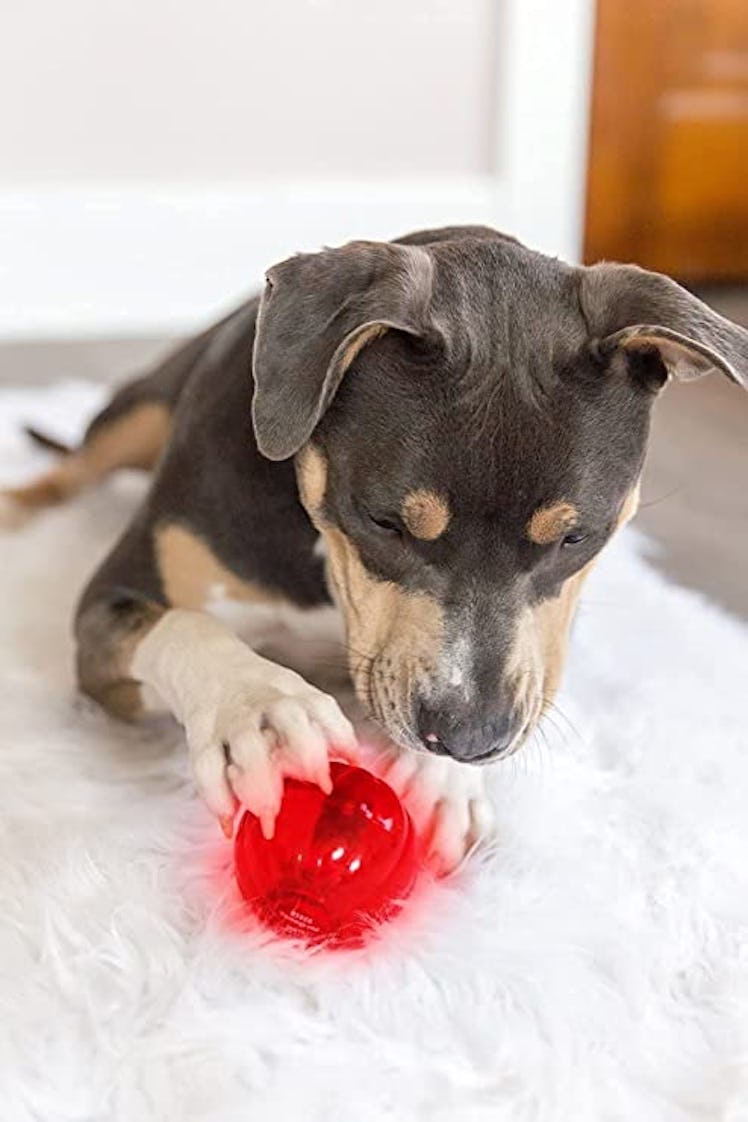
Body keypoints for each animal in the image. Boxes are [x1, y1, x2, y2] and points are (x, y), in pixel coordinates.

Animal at [2, 227, 744, 870]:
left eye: (575, 537)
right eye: (386, 522)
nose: (472, 740)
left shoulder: (533, 641)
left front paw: (440, 781)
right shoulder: (110, 609)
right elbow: (186, 625)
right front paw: (260, 711)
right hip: (136, 411)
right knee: (76, 464)